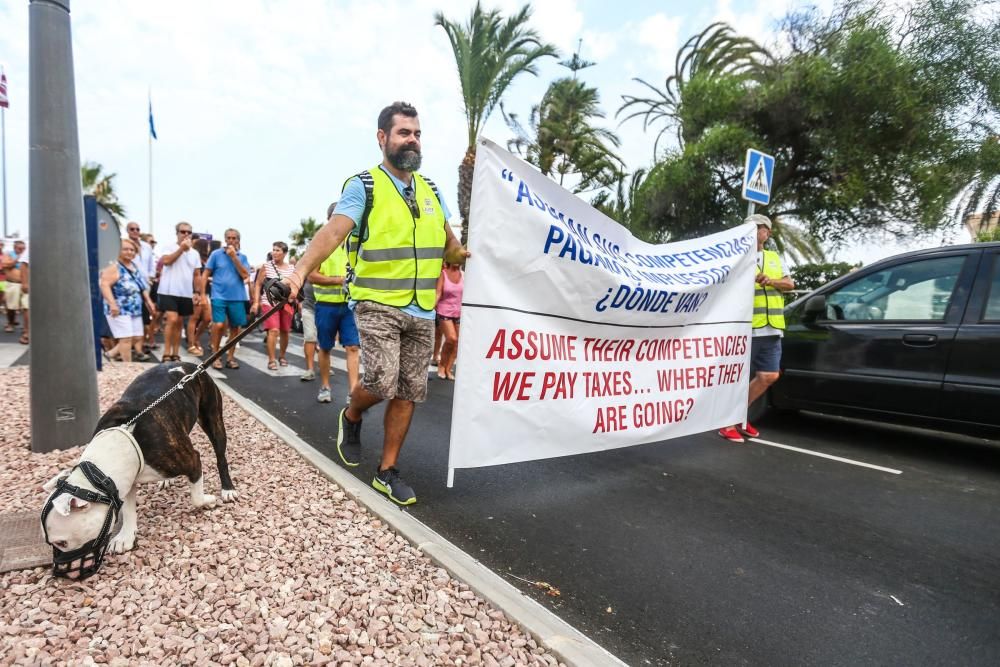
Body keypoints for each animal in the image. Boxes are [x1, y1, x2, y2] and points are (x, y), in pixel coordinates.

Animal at [41, 360, 236, 580]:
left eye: (61, 542)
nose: (58, 572)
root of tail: (191, 365)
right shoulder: (125, 481)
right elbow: (128, 509)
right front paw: (125, 536)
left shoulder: (193, 460)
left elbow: (196, 498)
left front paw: (208, 501)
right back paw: (167, 480)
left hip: (213, 419)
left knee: (221, 457)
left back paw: (227, 489)